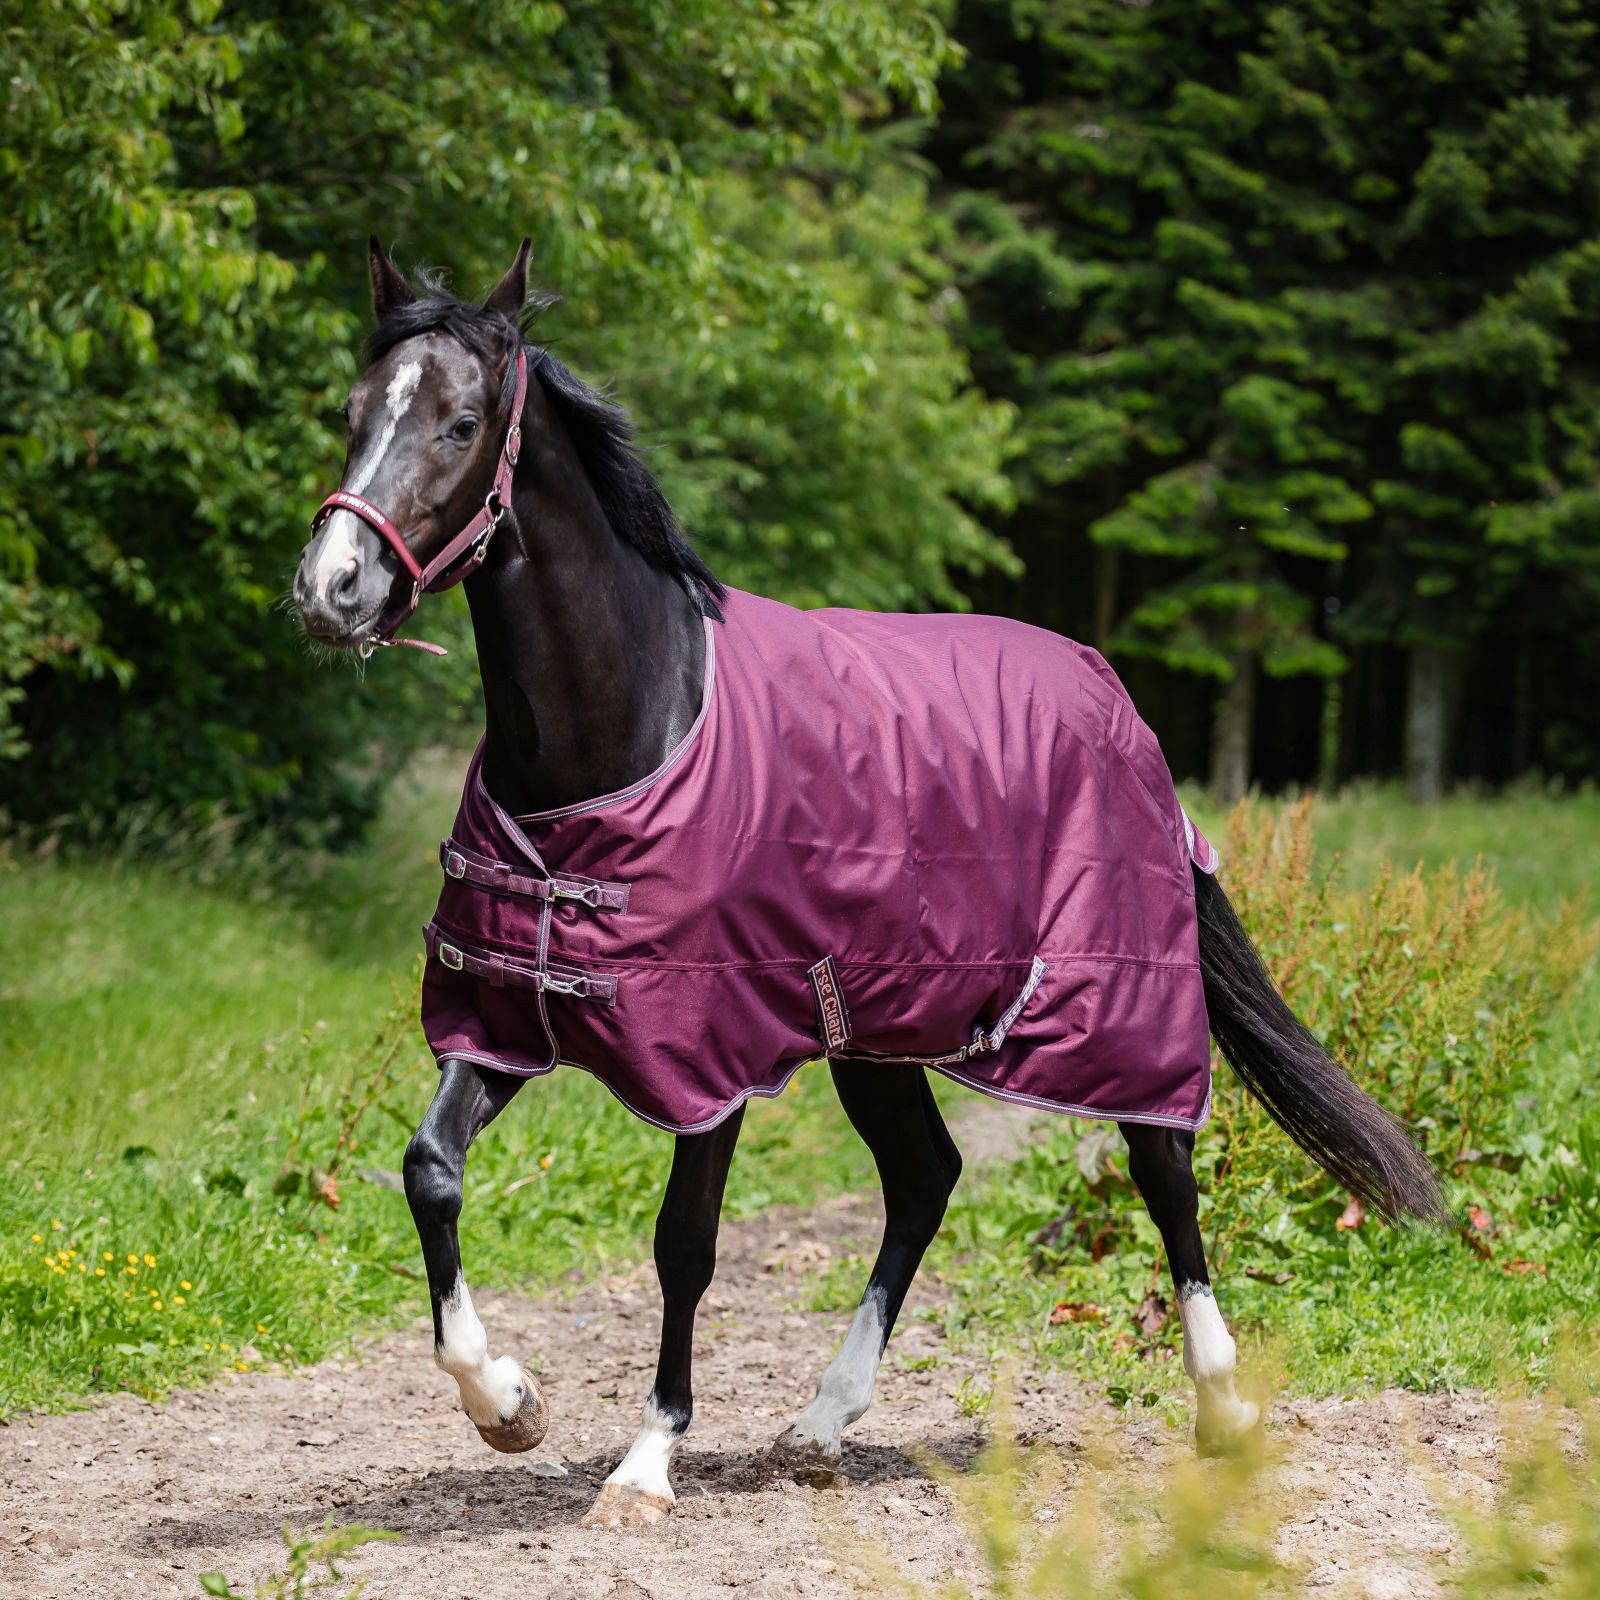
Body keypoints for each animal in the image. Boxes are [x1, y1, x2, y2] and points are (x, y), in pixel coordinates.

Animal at [292, 238, 1447, 1530]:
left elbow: (683, 1242)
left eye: (460, 422)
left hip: (1116, 1005)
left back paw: (1220, 1406)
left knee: (1163, 1170)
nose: (332, 587)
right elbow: (430, 1171)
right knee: (926, 1177)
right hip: (878, 1026)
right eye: (352, 411)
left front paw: (644, 1463)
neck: (627, 731)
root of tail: (1117, 699)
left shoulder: (714, 1057)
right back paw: (821, 1421)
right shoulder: (504, 1014)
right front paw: (507, 1403)